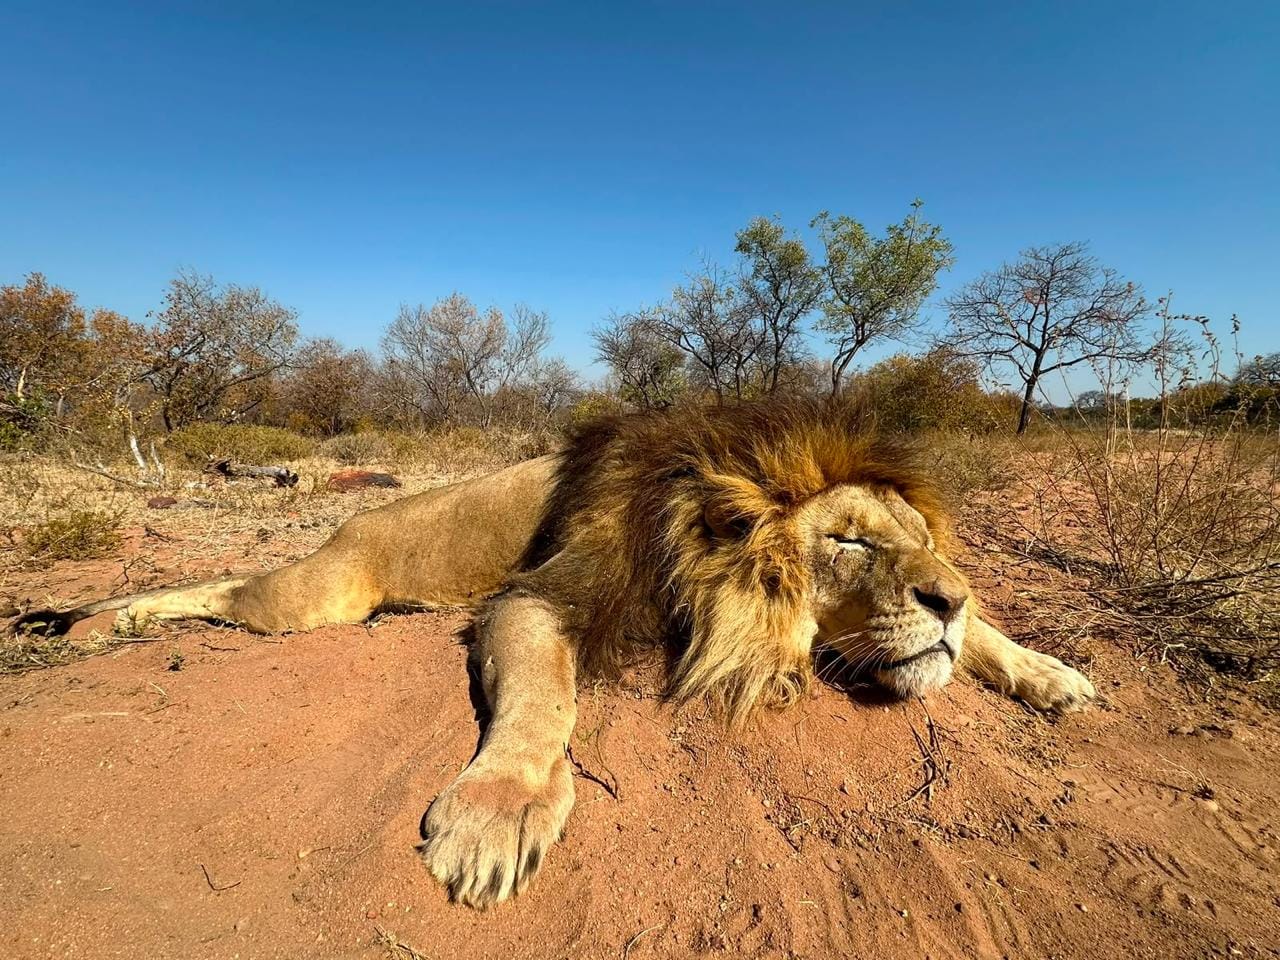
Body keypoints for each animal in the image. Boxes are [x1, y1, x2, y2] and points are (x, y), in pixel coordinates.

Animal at [11, 398, 1095, 908]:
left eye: (917, 542)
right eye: (848, 542)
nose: (944, 596)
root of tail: (354, 520)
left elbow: (989, 644)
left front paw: (1049, 673)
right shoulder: (540, 596)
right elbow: (545, 699)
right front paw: (499, 813)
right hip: (316, 598)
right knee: (232, 589)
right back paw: (109, 620)